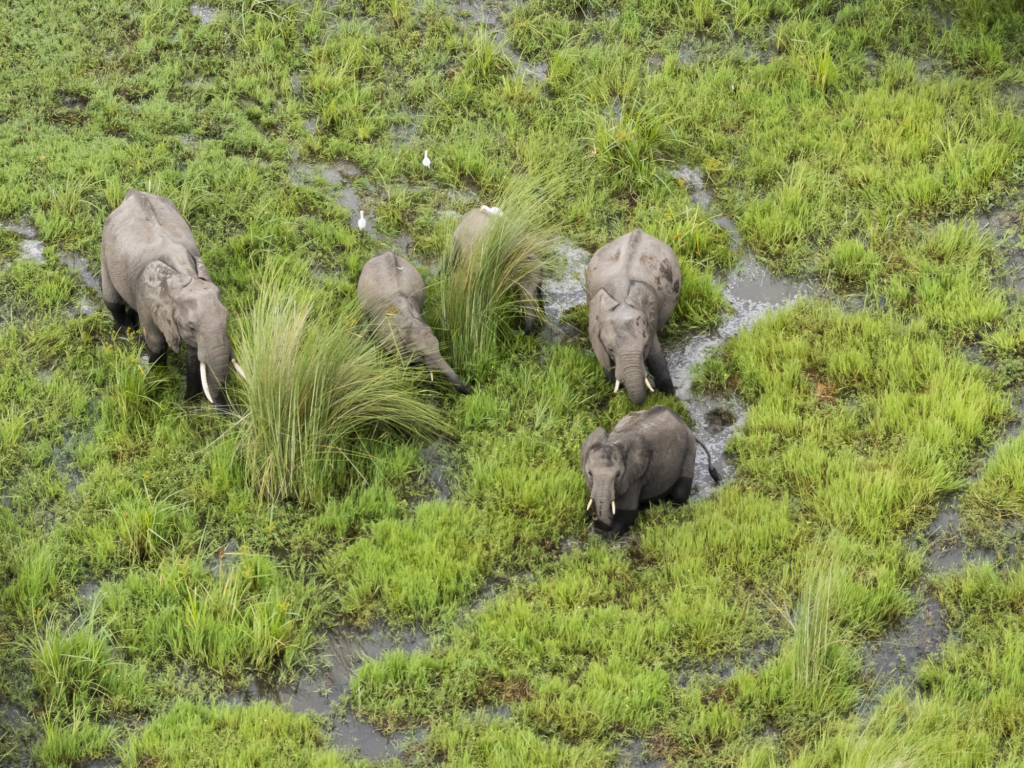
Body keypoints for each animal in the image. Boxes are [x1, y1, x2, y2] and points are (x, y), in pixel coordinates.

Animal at [100, 191, 245, 409]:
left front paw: (187, 405)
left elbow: (194, 358)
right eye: (191, 326)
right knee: (113, 301)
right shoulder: (149, 299)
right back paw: (126, 336)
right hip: (105, 247)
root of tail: (132, 193)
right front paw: (157, 386)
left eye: (227, 320)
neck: (185, 273)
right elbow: (157, 343)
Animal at [356, 253, 471, 397]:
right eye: (422, 354)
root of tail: (387, 253)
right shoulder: (391, 338)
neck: (411, 322)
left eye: (439, 347)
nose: (468, 390)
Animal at [585, 228, 679, 405]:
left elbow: (657, 359)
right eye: (610, 349)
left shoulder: (650, 322)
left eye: (645, 346)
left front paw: (670, 397)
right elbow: (607, 366)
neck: (621, 295)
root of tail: (638, 230)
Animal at [585, 409, 720, 536]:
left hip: (689, 451)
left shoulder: (635, 476)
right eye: (590, 474)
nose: (594, 517)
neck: (614, 441)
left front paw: (609, 536)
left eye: (618, 475)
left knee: (680, 493)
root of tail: (688, 428)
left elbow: (627, 512)